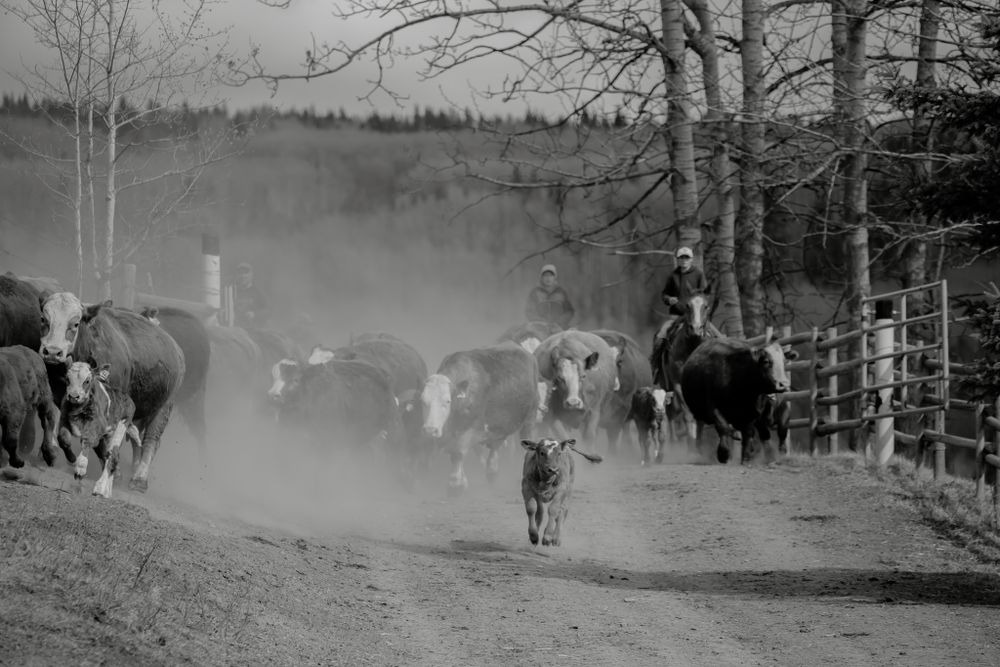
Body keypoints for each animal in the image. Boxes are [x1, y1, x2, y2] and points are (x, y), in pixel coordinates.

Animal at [59, 360, 141, 498]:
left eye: (87, 381)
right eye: (67, 378)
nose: (74, 396)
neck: (79, 409)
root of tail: (128, 399)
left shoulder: (96, 428)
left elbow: (87, 442)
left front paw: (80, 469)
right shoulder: (64, 420)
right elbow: (63, 439)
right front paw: (72, 459)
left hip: (120, 428)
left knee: (112, 457)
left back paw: (100, 488)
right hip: (105, 438)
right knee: (105, 456)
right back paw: (107, 491)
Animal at [421, 342, 540, 495]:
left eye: (447, 401)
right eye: (422, 401)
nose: (430, 429)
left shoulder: (469, 429)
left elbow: (457, 454)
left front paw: (455, 485)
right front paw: (462, 482)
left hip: (530, 418)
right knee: (495, 446)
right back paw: (492, 471)